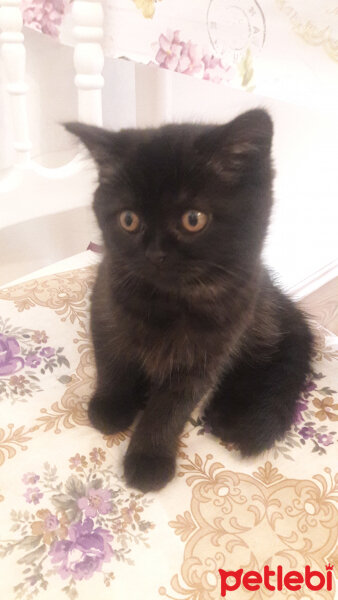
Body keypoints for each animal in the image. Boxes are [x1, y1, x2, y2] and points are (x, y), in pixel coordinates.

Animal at [66, 111, 314, 492]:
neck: (169, 302)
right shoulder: (106, 298)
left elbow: (170, 408)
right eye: (128, 220)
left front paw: (149, 459)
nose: (154, 254)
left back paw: (231, 414)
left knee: (267, 354)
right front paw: (110, 406)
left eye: (193, 219)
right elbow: (112, 359)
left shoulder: (205, 356)